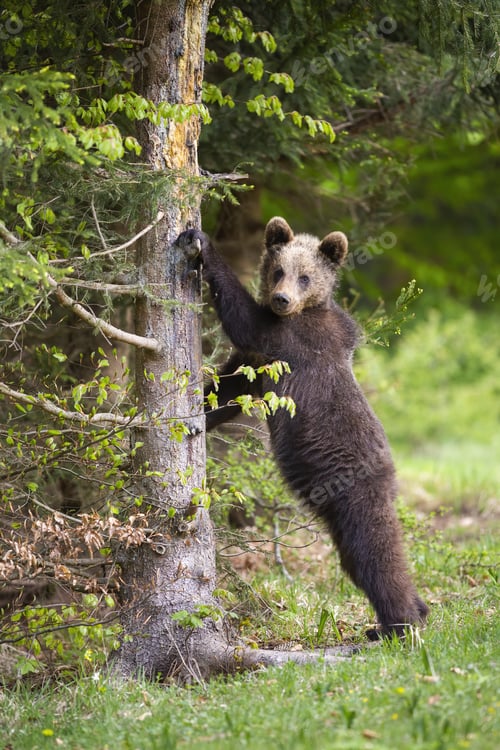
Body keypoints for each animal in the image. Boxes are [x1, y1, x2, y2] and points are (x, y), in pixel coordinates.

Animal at [177, 217, 429, 639]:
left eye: (305, 276)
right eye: (279, 270)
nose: (282, 299)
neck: (302, 311)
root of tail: (390, 477)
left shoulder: (294, 339)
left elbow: (246, 321)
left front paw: (200, 242)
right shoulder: (259, 362)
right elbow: (229, 388)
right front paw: (193, 411)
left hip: (354, 489)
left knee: (376, 555)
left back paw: (397, 623)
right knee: (356, 561)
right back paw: (415, 611)